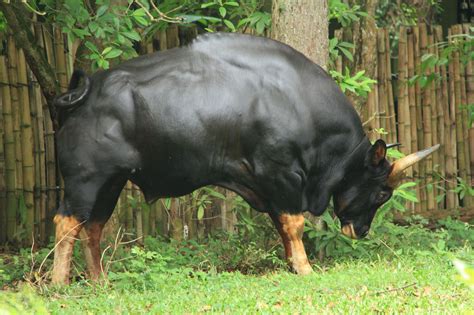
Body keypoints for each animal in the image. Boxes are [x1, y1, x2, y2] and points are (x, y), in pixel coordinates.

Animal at [50, 33, 438, 286]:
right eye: (382, 193)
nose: (362, 231)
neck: (299, 102)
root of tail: (83, 93)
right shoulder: (281, 174)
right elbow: (294, 223)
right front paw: (305, 268)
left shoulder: (269, 185)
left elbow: (282, 225)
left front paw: (291, 264)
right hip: (86, 179)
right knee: (67, 222)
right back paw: (59, 285)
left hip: (111, 181)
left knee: (94, 226)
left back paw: (100, 281)